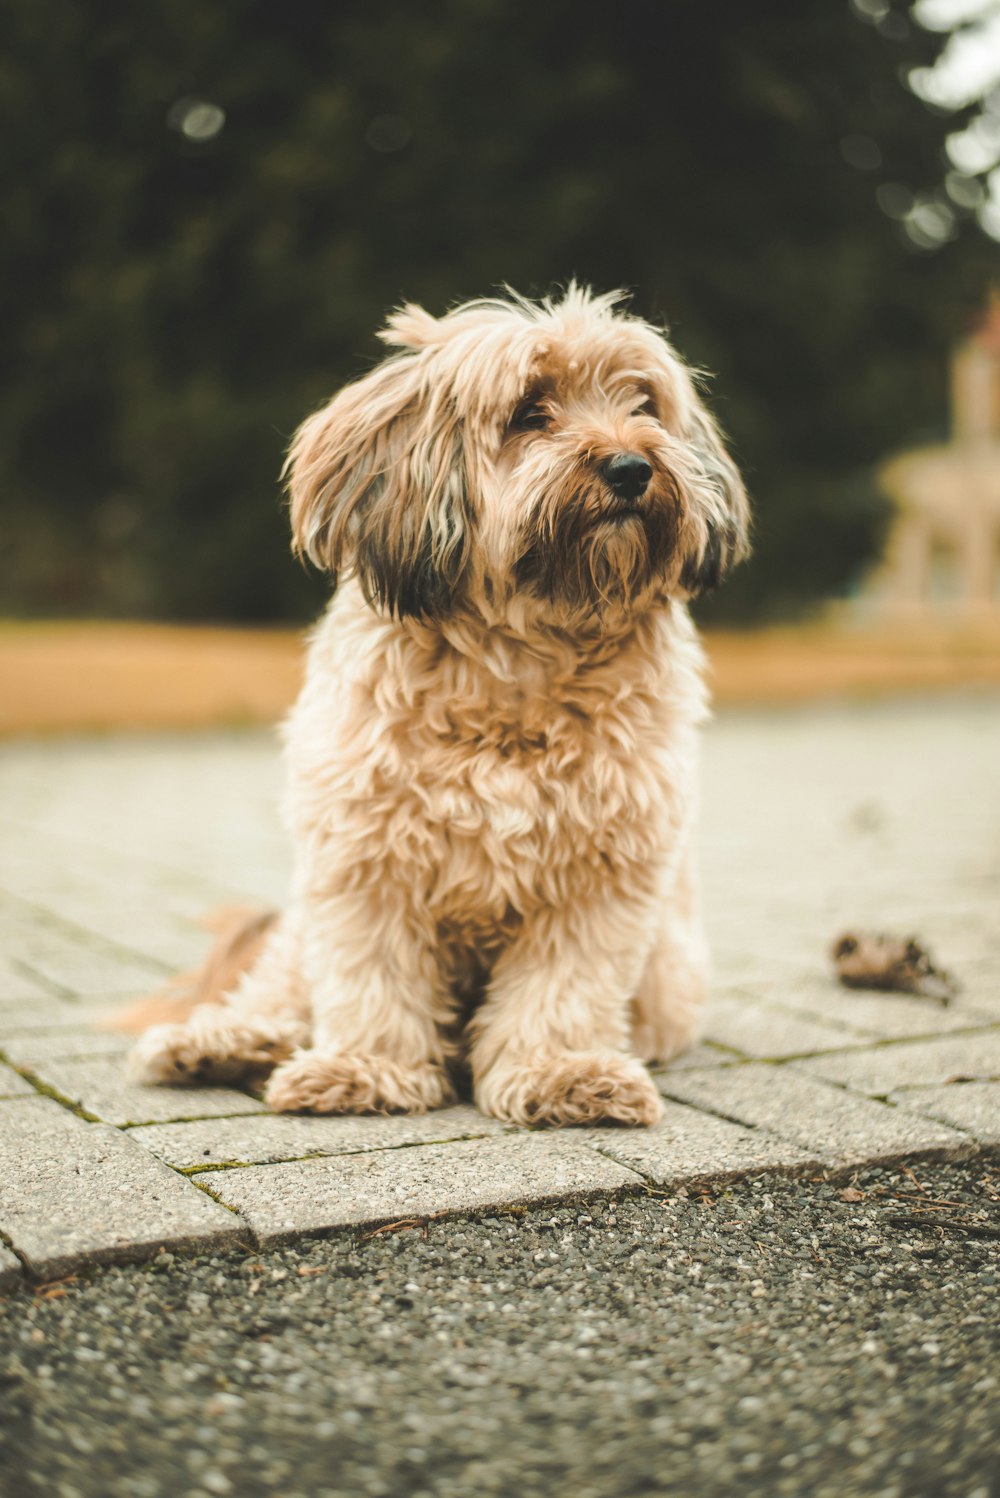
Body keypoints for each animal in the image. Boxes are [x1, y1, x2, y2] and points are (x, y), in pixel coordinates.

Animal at [128, 283, 745, 1126]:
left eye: (643, 402)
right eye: (530, 410)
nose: (630, 466)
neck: (519, 658)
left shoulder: (603, 872)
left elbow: (564, 987)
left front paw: (560, 1071)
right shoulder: (364, 856)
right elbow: (372, 974)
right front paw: (366, 1068)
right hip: (299, 929)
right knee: (279, 999)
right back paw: (216, 1044)